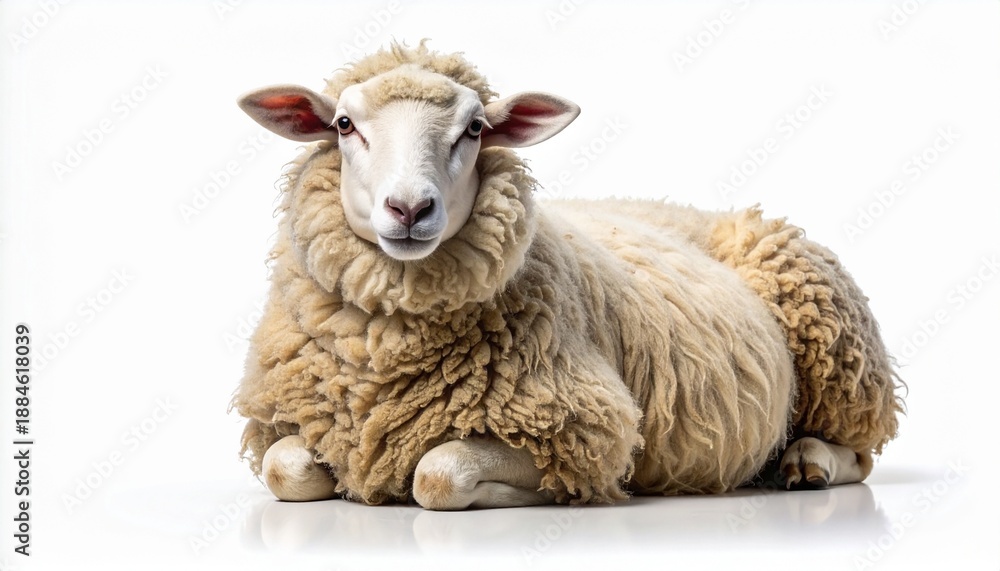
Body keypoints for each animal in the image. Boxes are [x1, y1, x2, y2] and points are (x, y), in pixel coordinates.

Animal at [232, 42, 904, 509]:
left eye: (475, 129)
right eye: (344, 125)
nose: (410, 209)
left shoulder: (590, 429)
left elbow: (438, 475)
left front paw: (532, 493)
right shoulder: (289, 424)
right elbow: (285, 470)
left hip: (839, 354)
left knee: (861, 452)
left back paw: (807, 462)